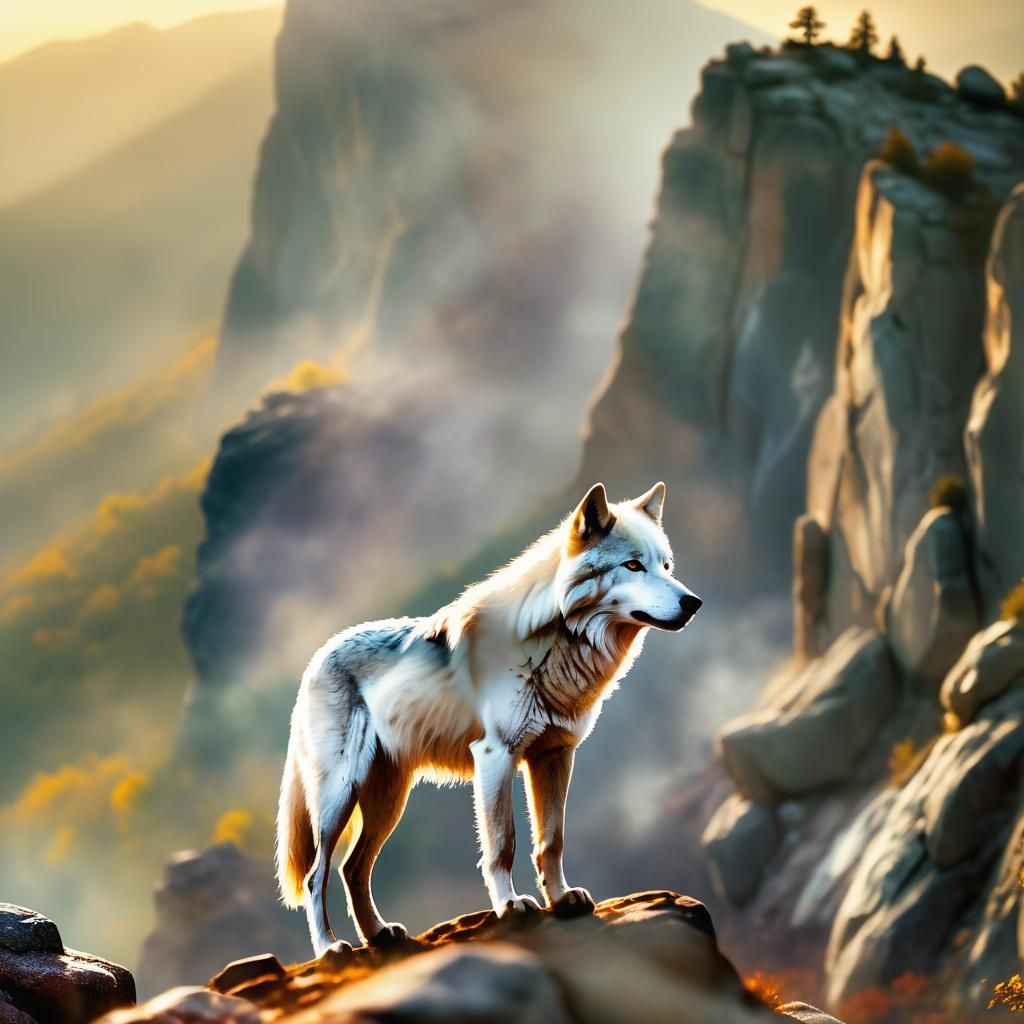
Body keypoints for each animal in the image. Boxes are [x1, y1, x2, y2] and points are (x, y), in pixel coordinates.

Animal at [276, 481, 702, 954]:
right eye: (633, 565)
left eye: (666, 566)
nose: (693, 602)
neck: (554, 645)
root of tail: (315, 660)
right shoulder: (495, 756)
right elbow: (503, 843)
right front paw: (511, 905)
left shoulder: (555, 756)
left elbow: (551, 839)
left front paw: (561, 899)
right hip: (339, 797)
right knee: (317, 875)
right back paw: (329, 949)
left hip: (389, 800)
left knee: (353, 868)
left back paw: (380, 935)